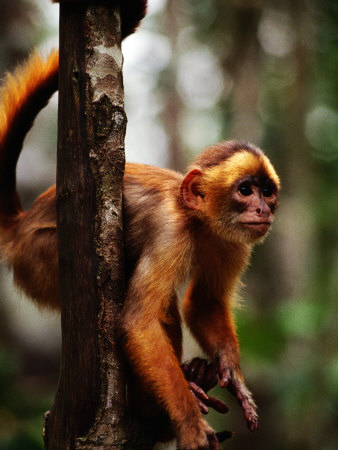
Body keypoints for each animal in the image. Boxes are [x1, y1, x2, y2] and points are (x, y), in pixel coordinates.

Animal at [0, 48, 280, 446]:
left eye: (266, 192)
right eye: (245, 190)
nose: (262, 209)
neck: (198, 222)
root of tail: (20, 227)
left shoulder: (235, 245)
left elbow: (204, 304)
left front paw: (235, 379)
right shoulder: (170, 231)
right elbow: (138, 324)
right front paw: (189, 423)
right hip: (41, 258)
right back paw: (158, 408)